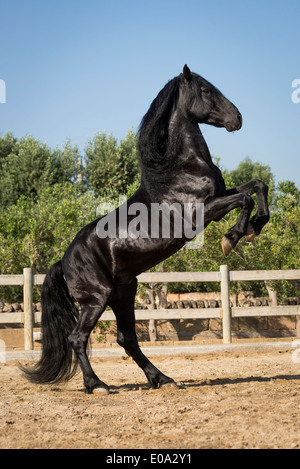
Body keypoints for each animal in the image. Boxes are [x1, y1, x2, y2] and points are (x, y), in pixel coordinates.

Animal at [21, 63, 270, 392]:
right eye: (205, 89)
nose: (237, 118)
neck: (181, 168)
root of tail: (63, 262)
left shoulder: (220, 197)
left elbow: (257, 185)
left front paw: (256, 226)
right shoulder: (202, 214)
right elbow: (245, 198)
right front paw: (232, 238)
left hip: (124, 293)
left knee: (126, 339)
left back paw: (162, 379)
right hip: (97, 298)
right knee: (78, 338)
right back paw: (97, 385)